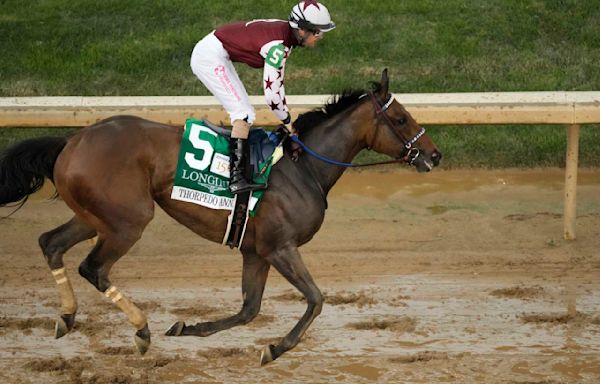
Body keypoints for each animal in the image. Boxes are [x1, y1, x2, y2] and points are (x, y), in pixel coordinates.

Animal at [0, 70, 440, 366]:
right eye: (401, 119)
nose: (434, 155)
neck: (303, 168)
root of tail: (72, 140)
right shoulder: (280, 247)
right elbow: (315, 300)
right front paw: (275, 348)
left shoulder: (256, 252)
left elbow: (249, 310)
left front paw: (188, 328)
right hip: (128, 220)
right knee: (93, 267)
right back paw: (140, 329)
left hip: (95, 215)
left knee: (50, 243)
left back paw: (67, 316)